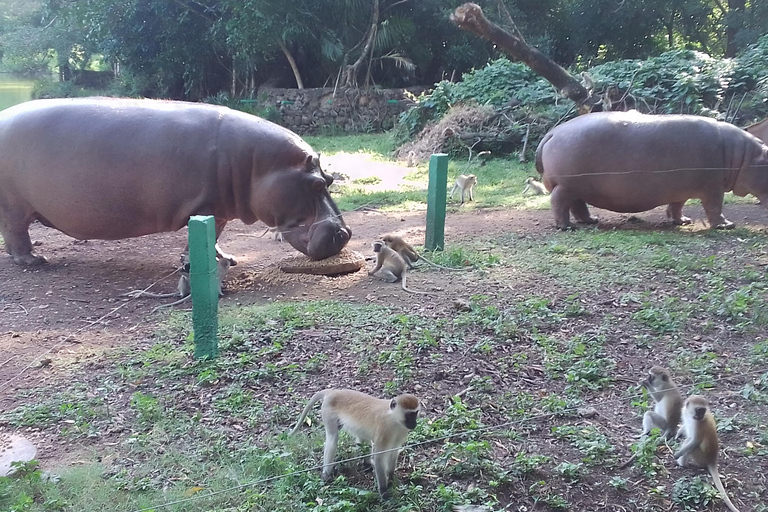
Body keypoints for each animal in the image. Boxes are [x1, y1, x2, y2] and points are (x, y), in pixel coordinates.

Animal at [290, 390, 420, 498]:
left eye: (415, 413)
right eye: (409, 415)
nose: (414, 424)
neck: (394, 419)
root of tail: (333, 391)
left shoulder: (401, 431)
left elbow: (393, 451)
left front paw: (391, 479)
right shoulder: (384, 430)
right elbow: (379, 458)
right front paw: (384, 491)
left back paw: (367, 464)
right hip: (327, 412)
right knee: (332, 439)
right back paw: (326, 475)